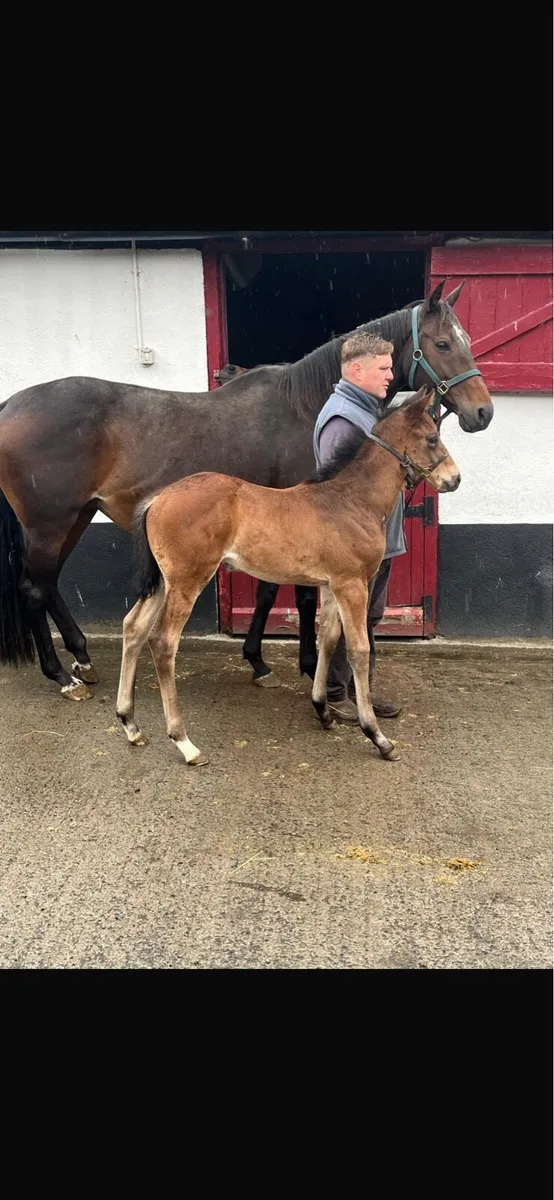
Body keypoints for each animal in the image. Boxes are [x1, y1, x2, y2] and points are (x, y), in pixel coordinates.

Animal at [0, 279, 491, 702]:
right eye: (443, 344)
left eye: (466, 340)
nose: (483, 412)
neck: (304, 406)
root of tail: (11, 406)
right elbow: (301, 596)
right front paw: (306, 664)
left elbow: (269, 592)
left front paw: (257, 661)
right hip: (49, 524)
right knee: (34, 589)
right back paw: (61, 676)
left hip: (76, 517)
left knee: (48, 585)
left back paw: (82, 659)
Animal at [116, 387, 461, 766]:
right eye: (432, 438)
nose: (454, 478)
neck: (350, 501)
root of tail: (158, 498)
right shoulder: (352, 584)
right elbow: (358, 649)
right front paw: (377, 736)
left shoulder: (331, 585)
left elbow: (328, 639)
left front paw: (323, 709)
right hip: (187, 580)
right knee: (163, 642)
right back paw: (185, 743)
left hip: (164, 582)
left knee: (133, 627)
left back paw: (130, 724)